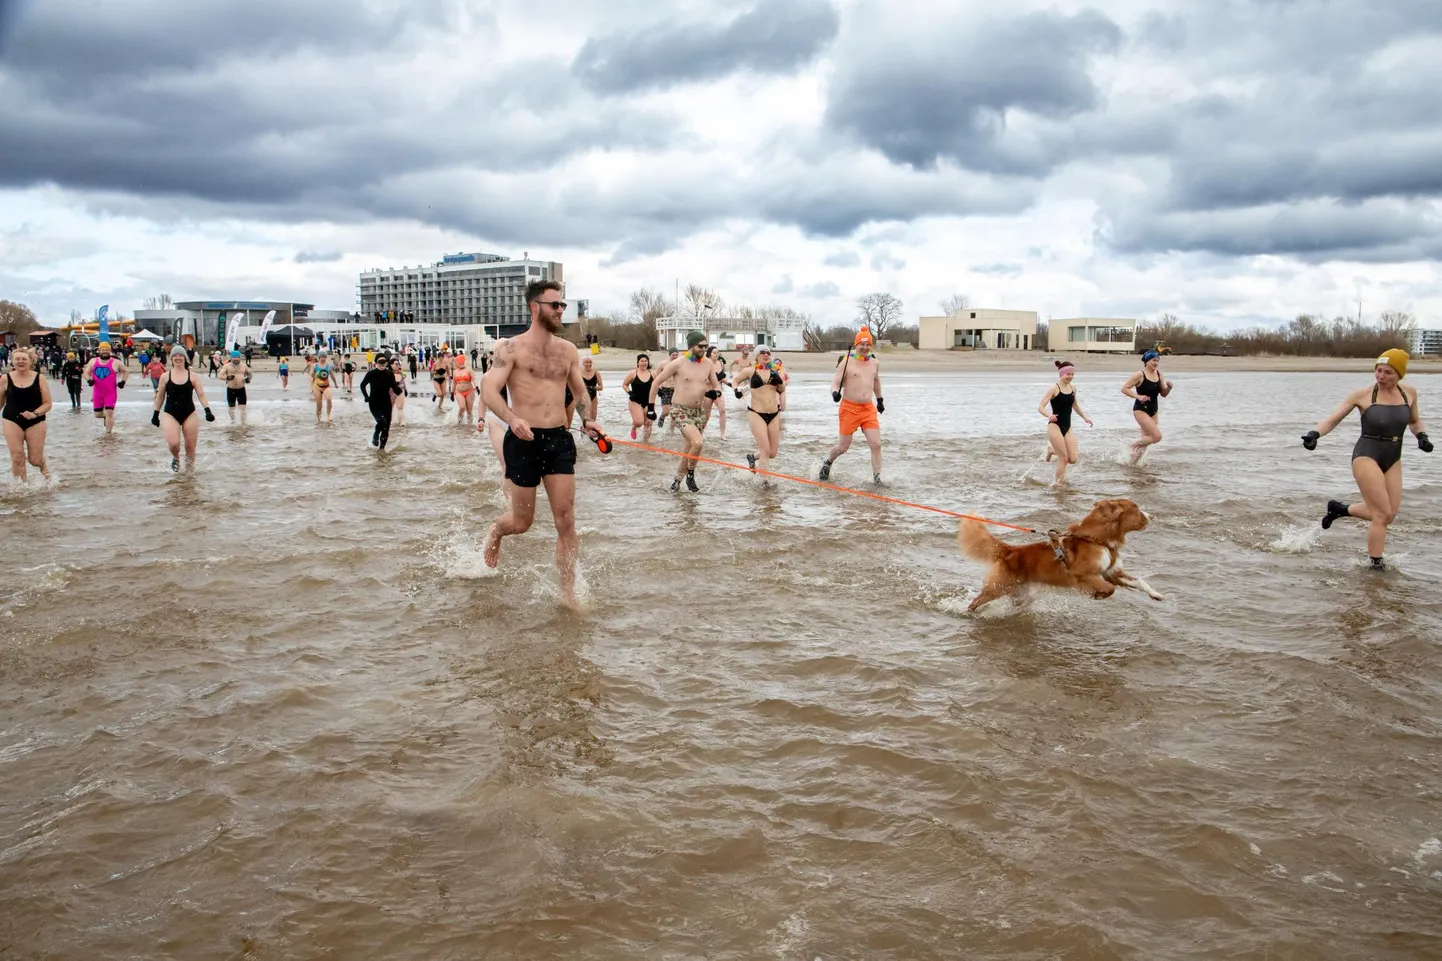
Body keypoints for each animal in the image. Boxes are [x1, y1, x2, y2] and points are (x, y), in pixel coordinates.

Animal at [963, 496, 1165, 608]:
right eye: (1137, 510)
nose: (1153, 516)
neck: (1098, 540)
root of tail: (1010, 550)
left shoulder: (1112, 572)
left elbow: (1140, 581)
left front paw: (1156, 594)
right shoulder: (1083, 575)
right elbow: (1110, 588)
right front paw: (1098, 595)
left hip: (1021, 593)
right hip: (998, 588)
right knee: (975, 602)